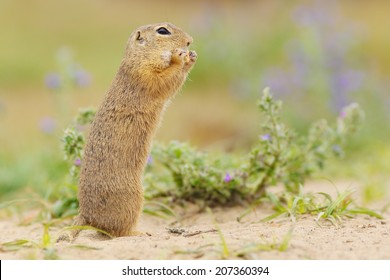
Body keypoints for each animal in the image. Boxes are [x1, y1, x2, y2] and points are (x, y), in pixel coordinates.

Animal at [59, 22, 197, 241]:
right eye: (163, 31)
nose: (190, 41)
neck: (137, 56)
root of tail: (85, 215)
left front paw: (191, 55)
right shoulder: (145, 74)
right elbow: (166, 80)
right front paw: (180, 57)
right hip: (133, 199)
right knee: (117, 232)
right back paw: (140, 232)